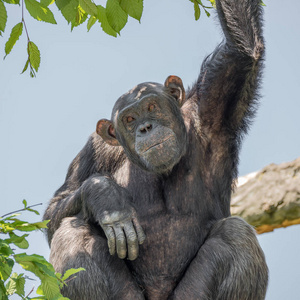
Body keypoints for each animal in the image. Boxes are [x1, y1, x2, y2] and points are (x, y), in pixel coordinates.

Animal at [43, 0, 268, 300]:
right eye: (129, 119)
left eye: (151, 106)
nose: (145, 127)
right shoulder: (95, 148)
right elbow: (55, 210)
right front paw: (106, 198)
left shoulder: (212, 106)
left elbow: (243, 49)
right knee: (72, 230)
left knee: (236, 233)